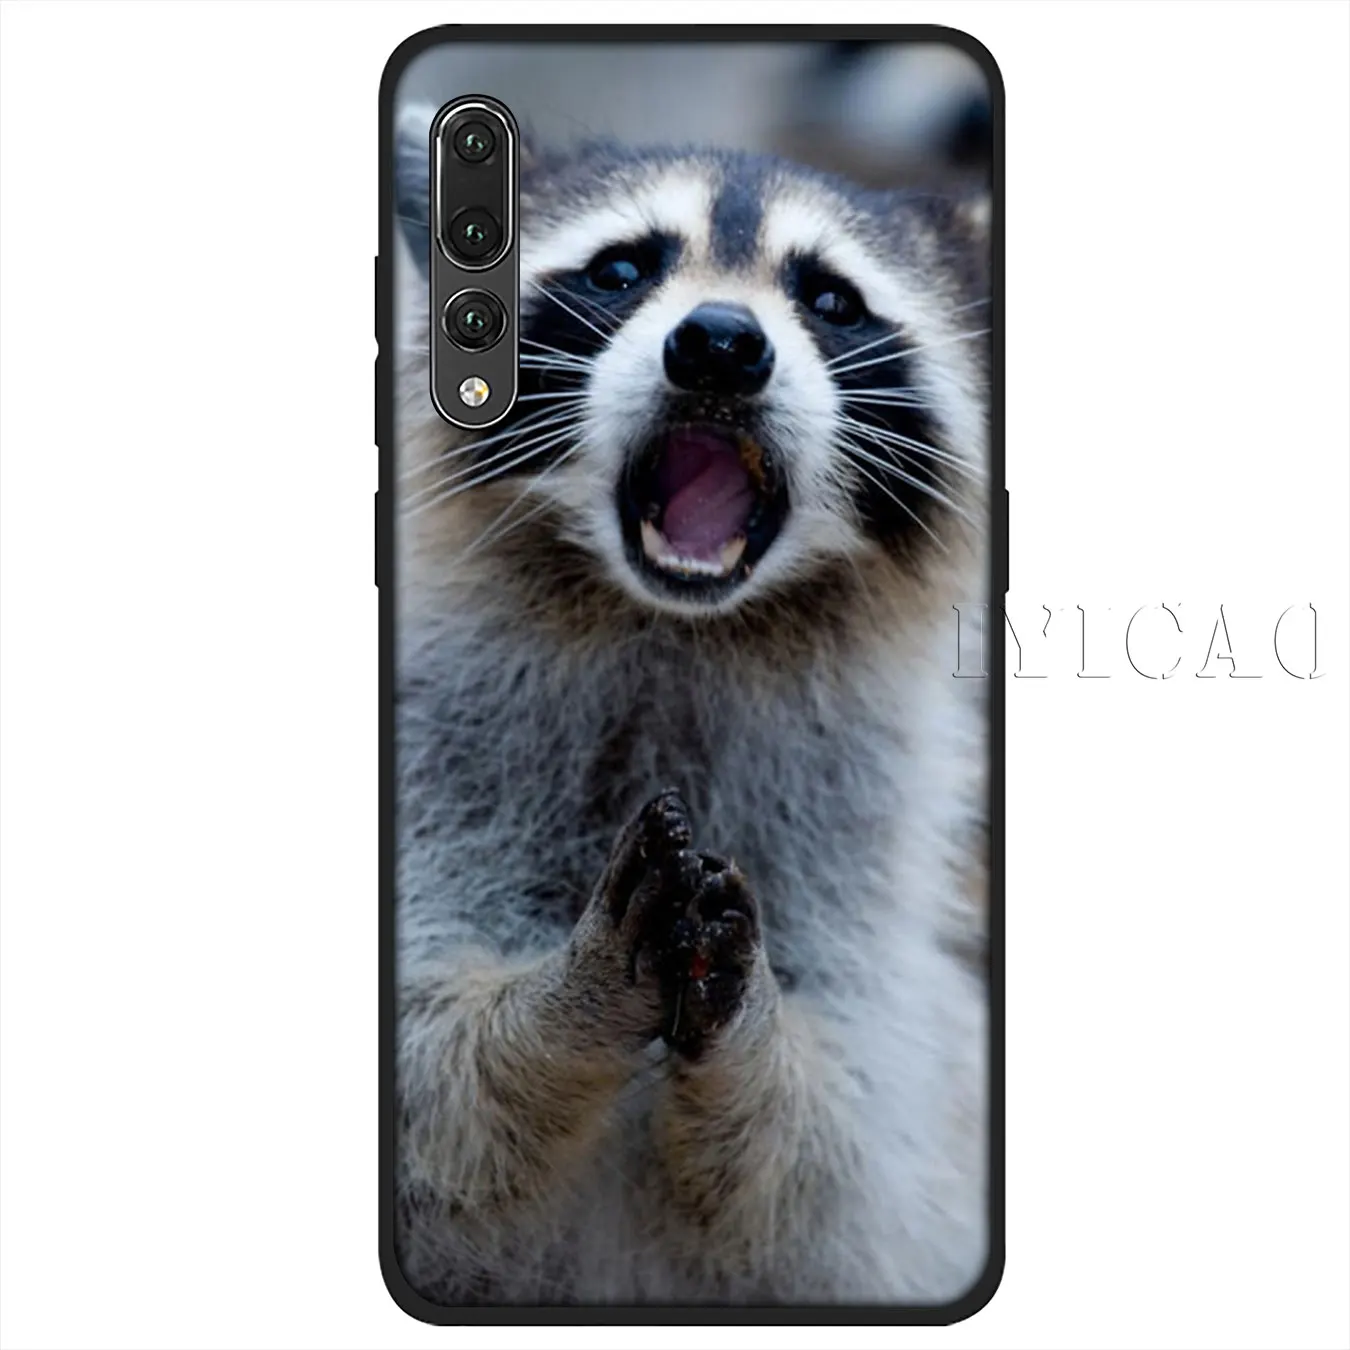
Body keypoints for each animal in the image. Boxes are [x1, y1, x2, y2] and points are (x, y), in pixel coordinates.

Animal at [389, 119, 993, 1307]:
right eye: (622, 270)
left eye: (831, 298)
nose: (719, 342)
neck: (677, 626)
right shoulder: (435, 772)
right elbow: (430, 1066)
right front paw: (553, 1007)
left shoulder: (865, 878)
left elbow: (846, 1147)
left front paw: (760, 1033)